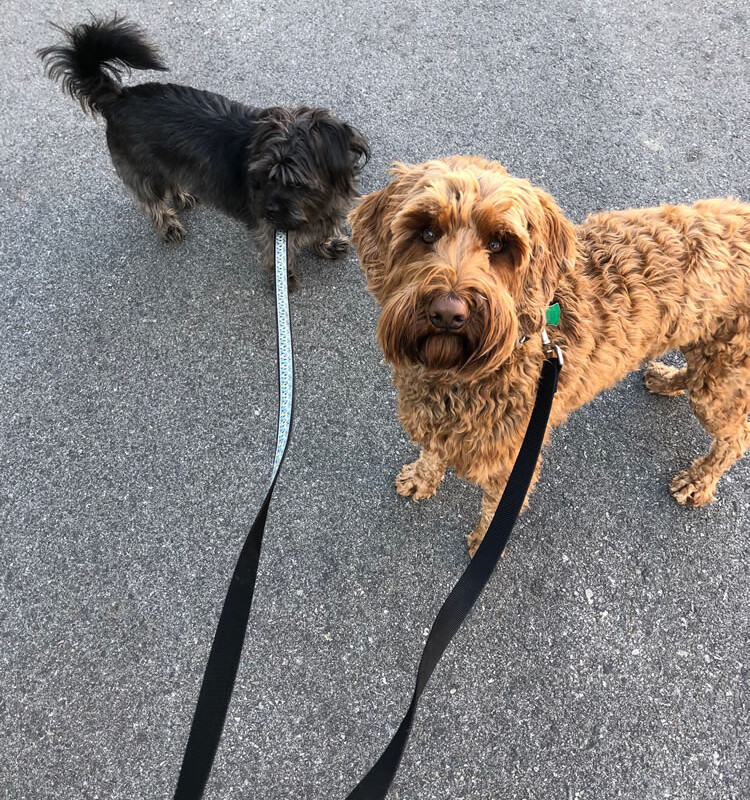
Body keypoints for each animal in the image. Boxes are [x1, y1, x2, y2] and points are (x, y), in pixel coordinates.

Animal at [38, 14, 374, 284]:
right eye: (264, 177)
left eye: (297, 183)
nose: (267, 210)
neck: (318, 204)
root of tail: (118, 99)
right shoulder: (273, 234)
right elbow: (278, 256)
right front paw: (284, 280)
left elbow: (322, 232)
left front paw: (326, 244)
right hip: (144, 172)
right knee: (151, 200)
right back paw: (168, 224)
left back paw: (183, 196)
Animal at [350, 156, 748, 556]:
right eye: (427, 233)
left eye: (498, 243)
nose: (448, 313)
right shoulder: (430, 417)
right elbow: (431, 452)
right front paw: (422, 477)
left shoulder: (513, 460)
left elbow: (495, 507)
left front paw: (484, 543)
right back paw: (667, 380)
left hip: (726, 375)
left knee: (735, 437)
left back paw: (699, 480)